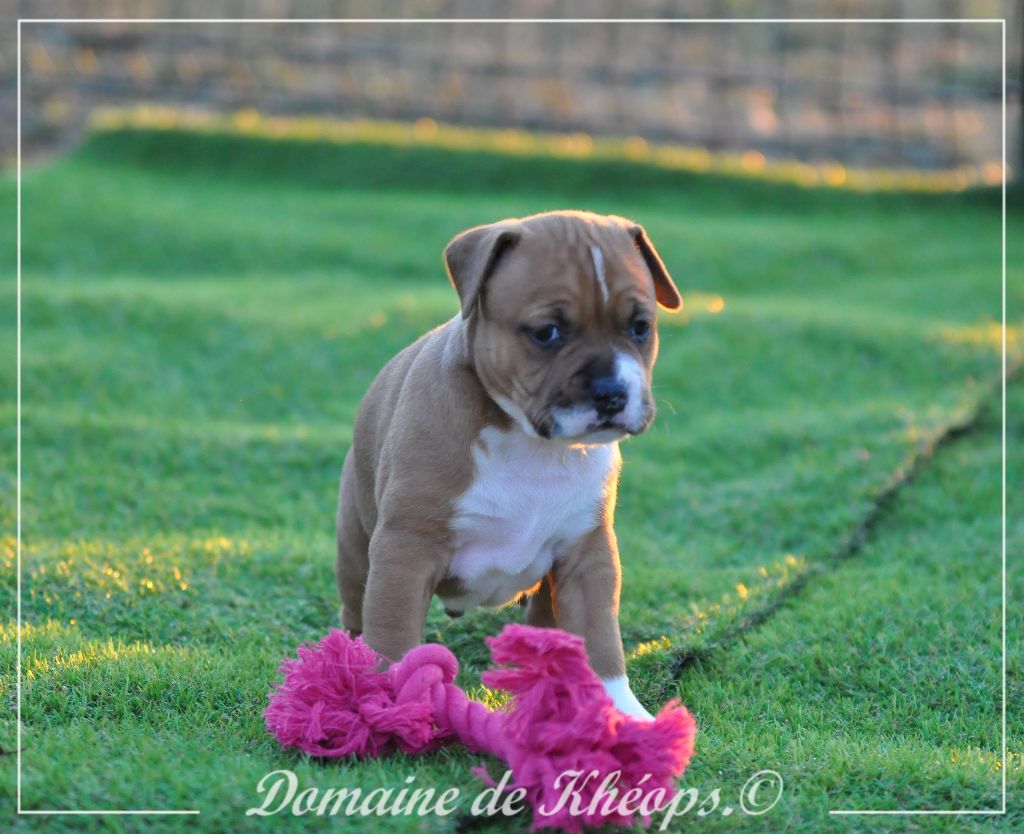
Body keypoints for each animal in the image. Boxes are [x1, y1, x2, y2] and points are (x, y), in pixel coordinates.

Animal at [335, 210, 681, 720]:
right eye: (546, 332)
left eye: (640, 327)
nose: (611, 393)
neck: (533, 444)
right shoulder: (404, 553)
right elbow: (393, 639)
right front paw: (392, 710)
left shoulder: (587, 556)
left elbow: (601, 640)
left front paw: (621, 711)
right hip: (355, 548)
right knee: (357, 615)